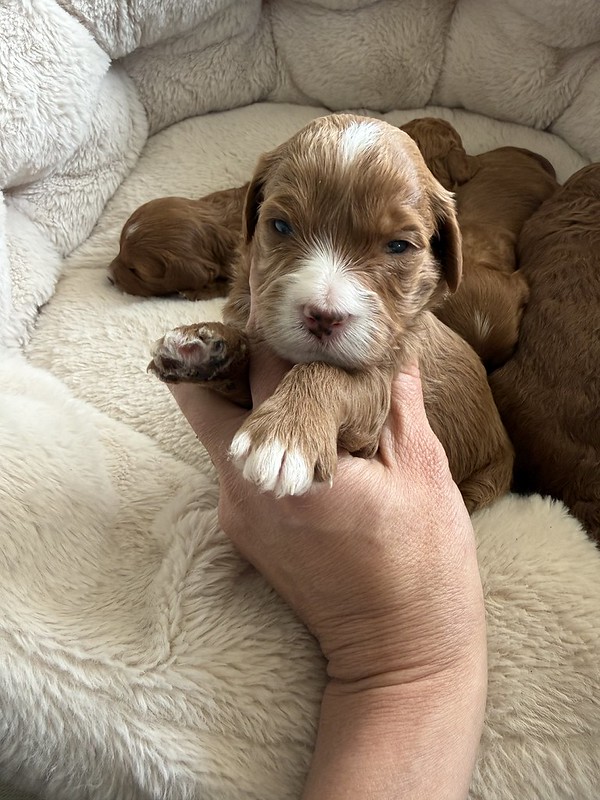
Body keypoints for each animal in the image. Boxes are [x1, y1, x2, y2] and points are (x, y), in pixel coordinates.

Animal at [148, 114, 513, 510]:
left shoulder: (381, 386)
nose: (323, 316)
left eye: (399, 246)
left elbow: (328, 373)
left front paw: (286, 434)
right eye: (281, 226)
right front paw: (202, 346)